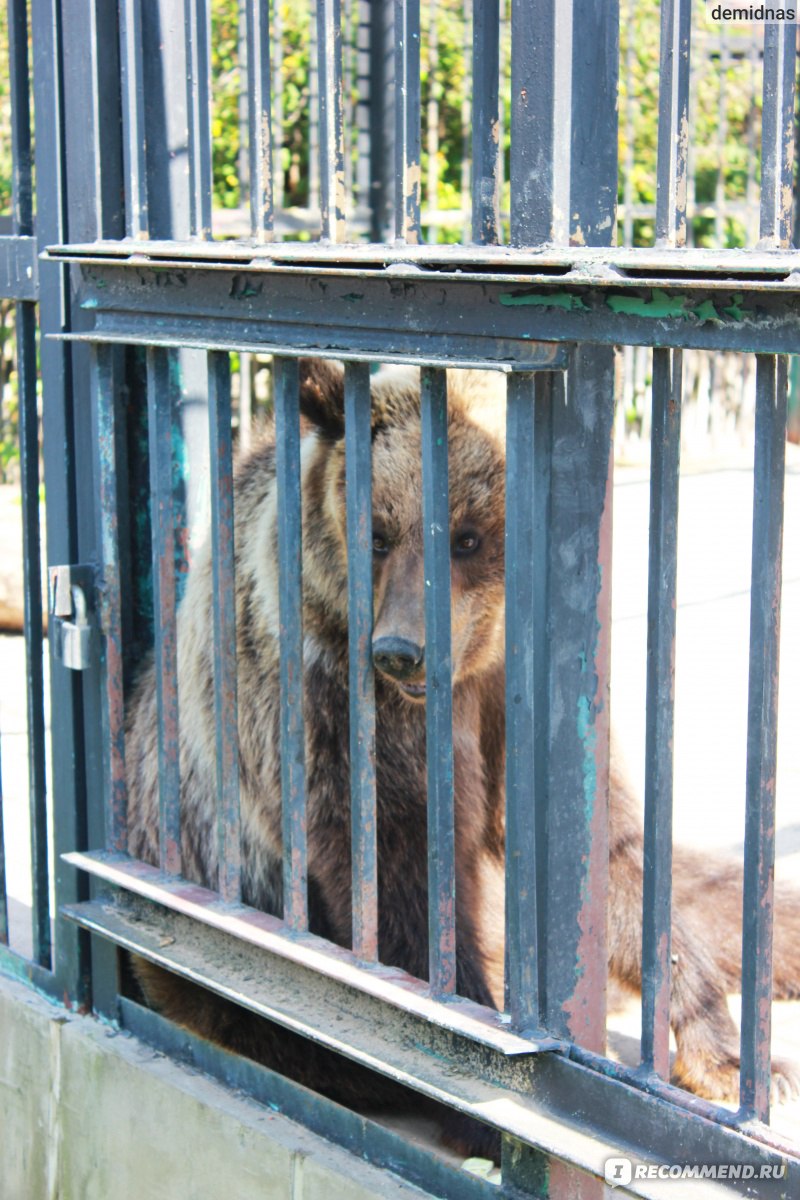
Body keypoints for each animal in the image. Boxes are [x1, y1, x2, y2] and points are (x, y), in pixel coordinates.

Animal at [123, 352, 800, 1132]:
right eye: (377, 534)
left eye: (468, 536)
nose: (399, 652)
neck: (473, 670)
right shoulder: (331, 704)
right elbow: (400, 868)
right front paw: (480, 1056)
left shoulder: (531, 707)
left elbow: (617, 858)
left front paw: (735, 1063)